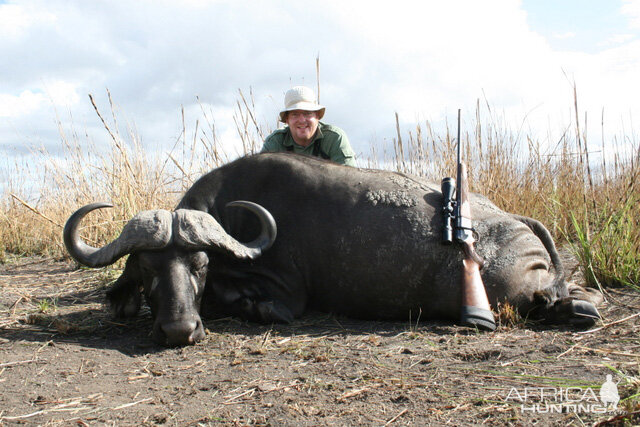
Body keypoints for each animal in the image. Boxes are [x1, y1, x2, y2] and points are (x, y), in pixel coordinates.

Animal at [63, 154, 600, 348]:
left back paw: (576, 310)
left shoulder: (286, 292)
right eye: (147, 267)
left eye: (199, 265)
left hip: (513, 289)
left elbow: (260, 304)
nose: (179, 330)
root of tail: (516, 220)